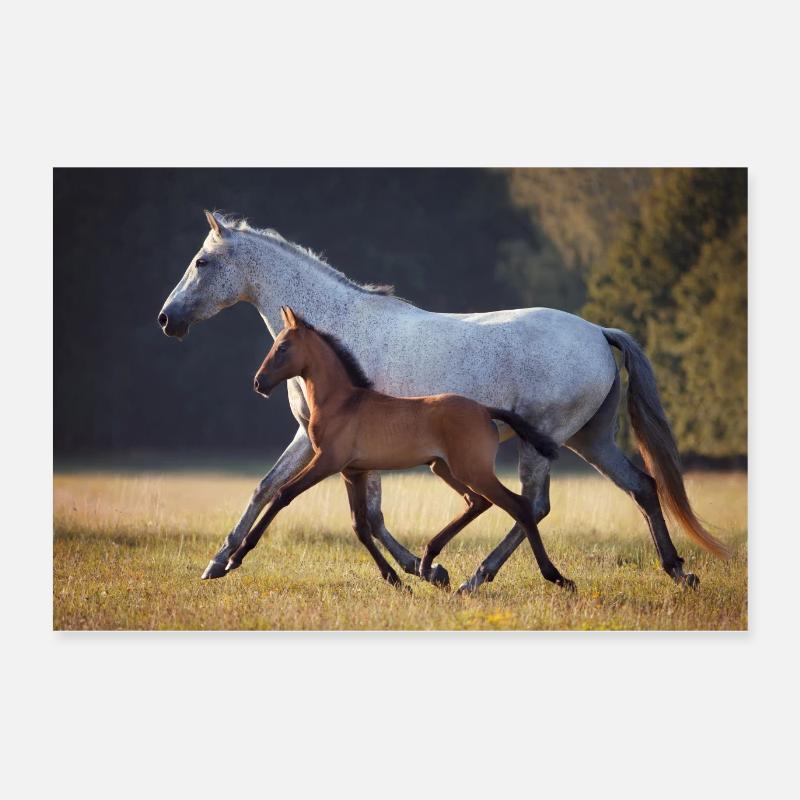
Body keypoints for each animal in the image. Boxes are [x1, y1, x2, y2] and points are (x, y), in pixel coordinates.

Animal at [223, 306, 568, 591]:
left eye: (282, 347)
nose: (259, 383)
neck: (342, 402)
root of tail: (485, 410)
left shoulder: (326, 462)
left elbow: (283, 495)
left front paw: (234, 558)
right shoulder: (352, 472)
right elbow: (360, 526)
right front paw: (397, 580)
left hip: (472, 470)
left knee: (519, 506)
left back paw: (556, 577)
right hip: (444, 467)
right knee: (478, 502)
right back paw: (428, 562)